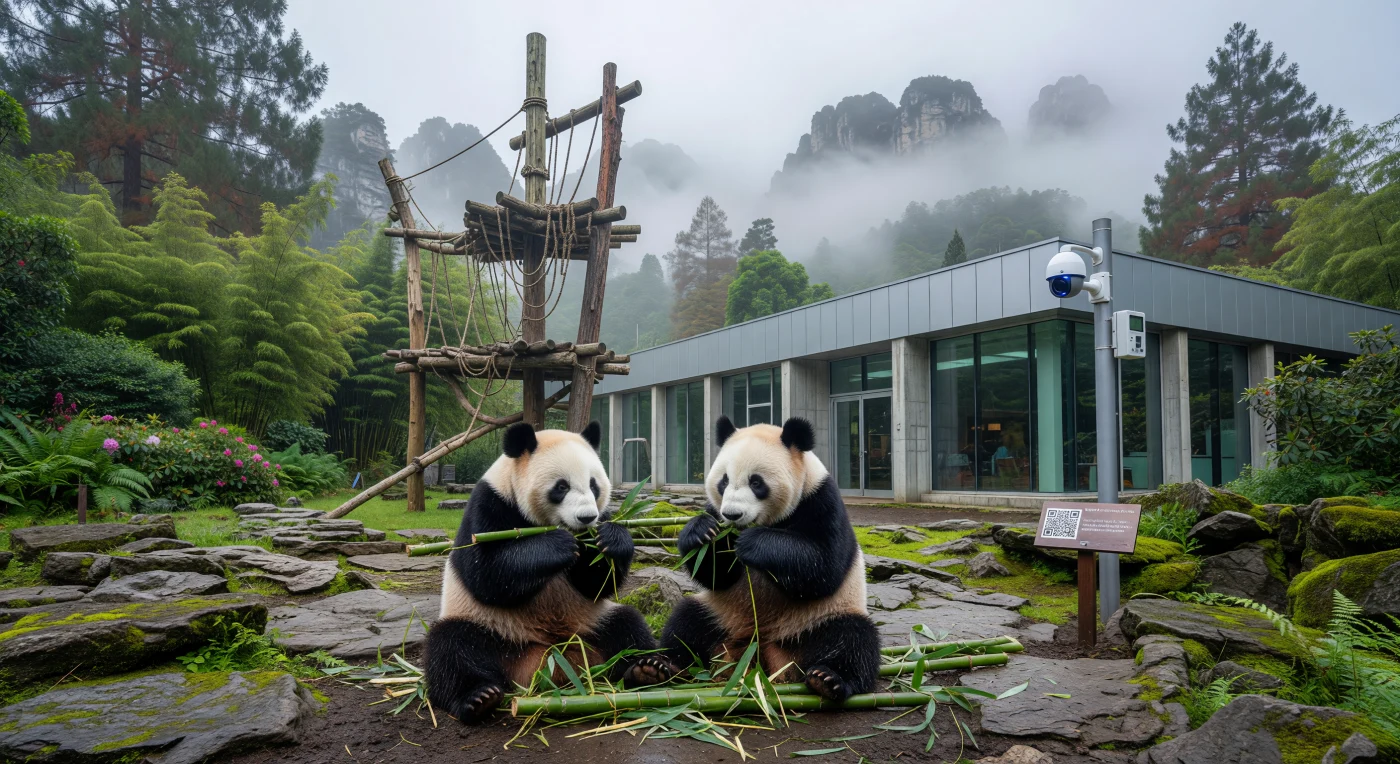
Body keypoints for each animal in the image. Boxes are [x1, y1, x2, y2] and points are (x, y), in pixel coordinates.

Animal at [426, 421, 668, 722]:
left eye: (593, 485)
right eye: (561, 486)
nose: (586, 517)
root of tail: (552, 657)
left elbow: (597, 583)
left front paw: (612, 540)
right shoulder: (490, 505)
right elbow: (486, 573)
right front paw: (558, 545)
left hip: (590, 622)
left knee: (628, 626)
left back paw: (648, 669)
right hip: (490, 626)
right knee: (451, 648)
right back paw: (479, 697)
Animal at [659, 416, 880, 700]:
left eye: (756, 482)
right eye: (724, 481)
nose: (732, 514)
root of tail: (758, 652)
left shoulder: (820, 501)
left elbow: (823, 567)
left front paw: (752, 543)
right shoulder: (716, 511)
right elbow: (715, 576)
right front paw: (702, 532)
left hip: (818, 618)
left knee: (853, 639)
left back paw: (828, 679)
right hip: (722, 613)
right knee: (686, 624)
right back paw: (657, 668)